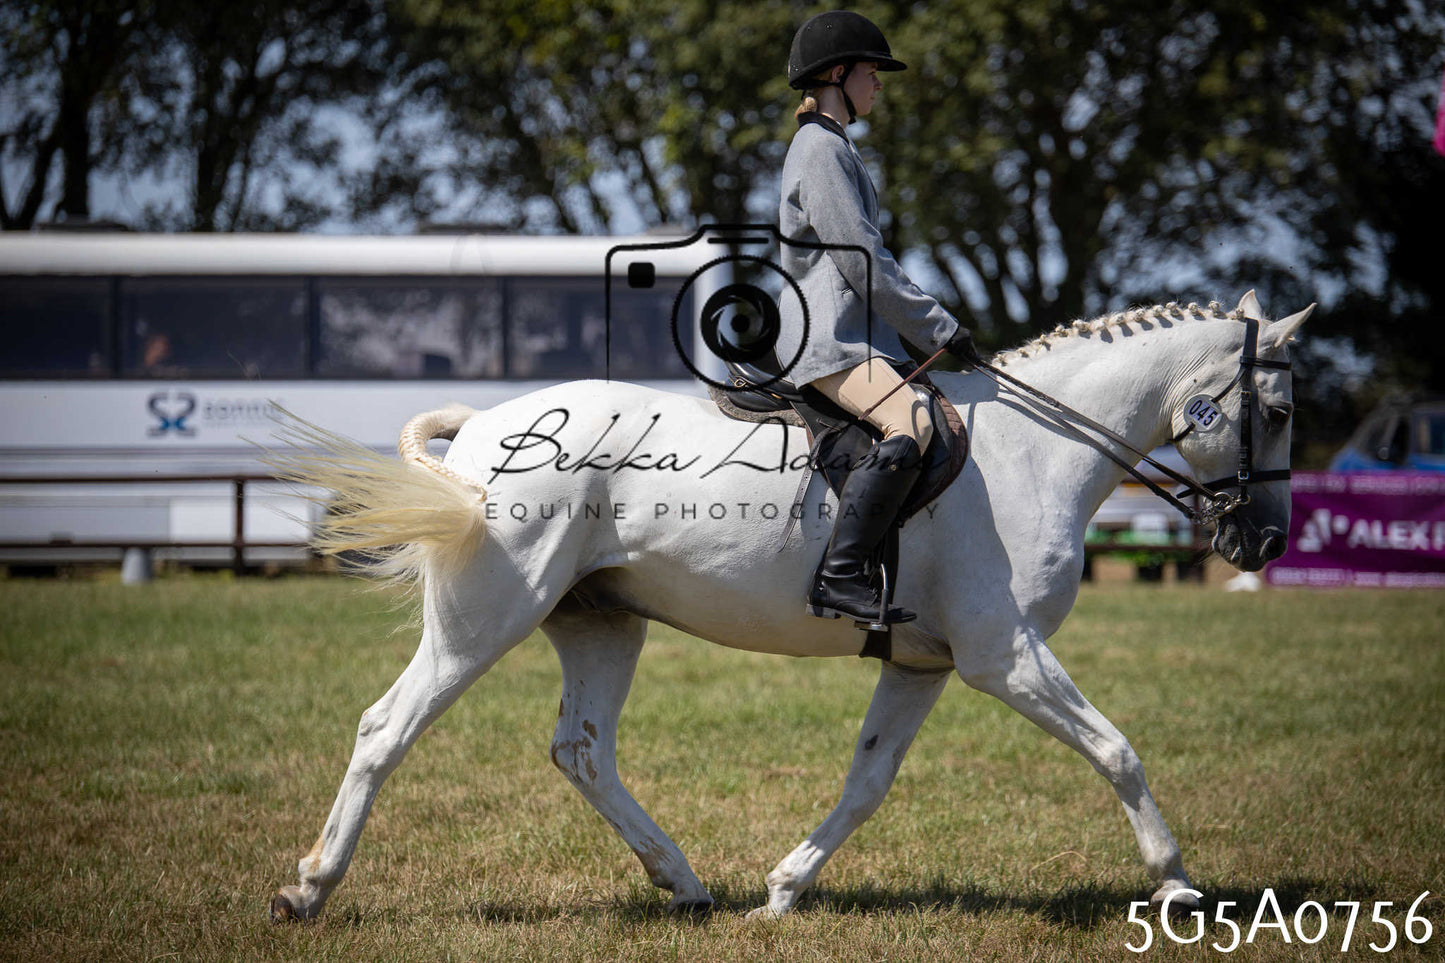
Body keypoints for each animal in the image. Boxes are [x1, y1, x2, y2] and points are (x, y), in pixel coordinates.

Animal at [266, 291, 1312, 923]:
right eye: (1280, 411)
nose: (1265, 544)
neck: (1033, 451)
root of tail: (485, 424)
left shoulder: (922, 662)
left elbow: (867, 780)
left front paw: (782, 888)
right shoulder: (1001, 653)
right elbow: (1115, 748)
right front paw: (1175, 884)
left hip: (602, 620)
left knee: (582, 751)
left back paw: (684, 883)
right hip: (486, 616)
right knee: (387, 728)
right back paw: (308, 889)